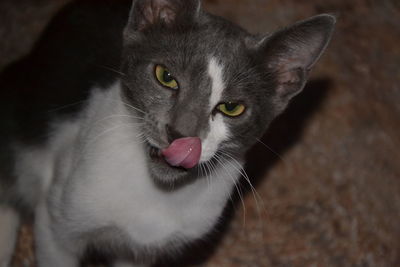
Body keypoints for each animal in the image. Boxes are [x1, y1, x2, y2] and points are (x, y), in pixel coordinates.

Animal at [0, 0, 336, 266]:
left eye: (231, 108)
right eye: (166, 76)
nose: (181, 134)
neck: (156, 192)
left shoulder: (141, 251)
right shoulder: (56, 223)